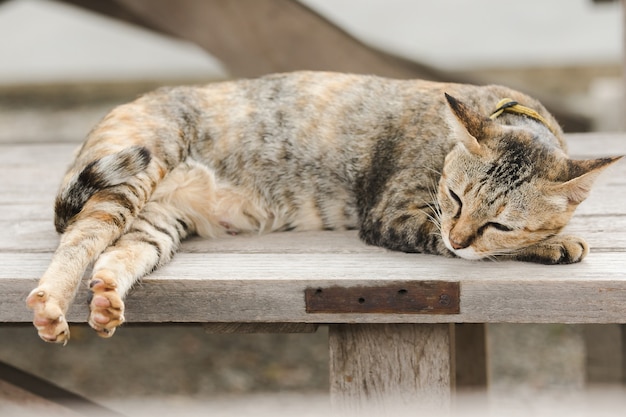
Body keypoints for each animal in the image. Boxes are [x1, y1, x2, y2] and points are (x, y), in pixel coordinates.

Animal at [24, 72, 616, 344]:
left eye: (498, 221)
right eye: (453, 198)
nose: (457, 234)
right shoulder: (398, 216)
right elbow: (478, 250)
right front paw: (558, 242)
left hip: (160, 220)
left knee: (117, 254)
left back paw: (106, 300)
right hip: (138, 167)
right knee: (80, 237)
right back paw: (52, 305)